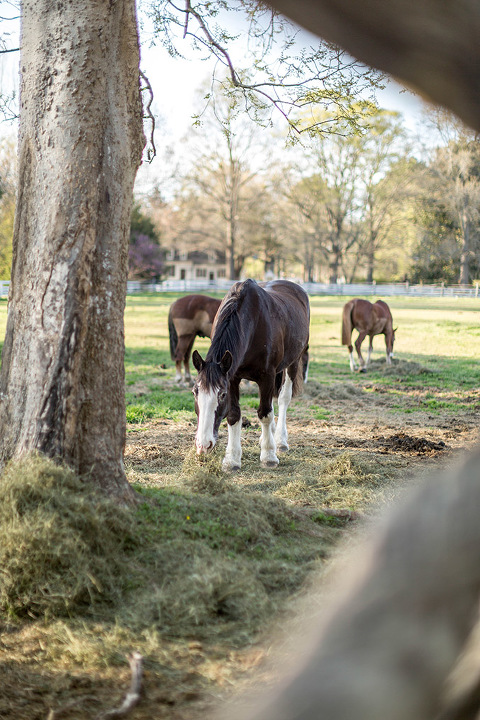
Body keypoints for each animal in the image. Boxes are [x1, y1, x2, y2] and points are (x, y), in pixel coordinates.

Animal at [192, 278, 310, 470]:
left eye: (222, 394)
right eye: (195, 392)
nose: (203, 445)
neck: (252, 323)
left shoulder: (267, 376)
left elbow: (265, 413)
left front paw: (269, 455)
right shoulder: (232, 377)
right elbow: (234, 415)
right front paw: (232, 459)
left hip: (293, 362)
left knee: (283, 399)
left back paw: (280, 441)